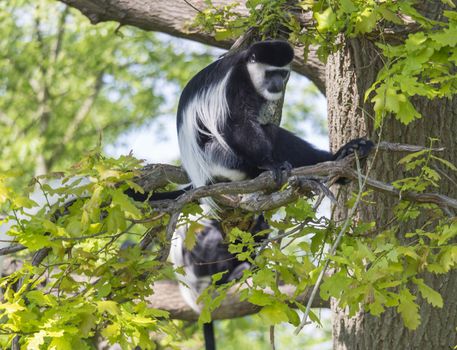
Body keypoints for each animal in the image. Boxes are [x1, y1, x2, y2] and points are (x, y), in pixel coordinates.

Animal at [169, 39, 372, 350]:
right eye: (270, 73)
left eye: (283, 73)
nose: (277, 84)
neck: (247, 68)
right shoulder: (235, 85)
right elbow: (237, 124)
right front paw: (272, 164)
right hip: (221, 159)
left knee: (274, 133)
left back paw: (339, 158)